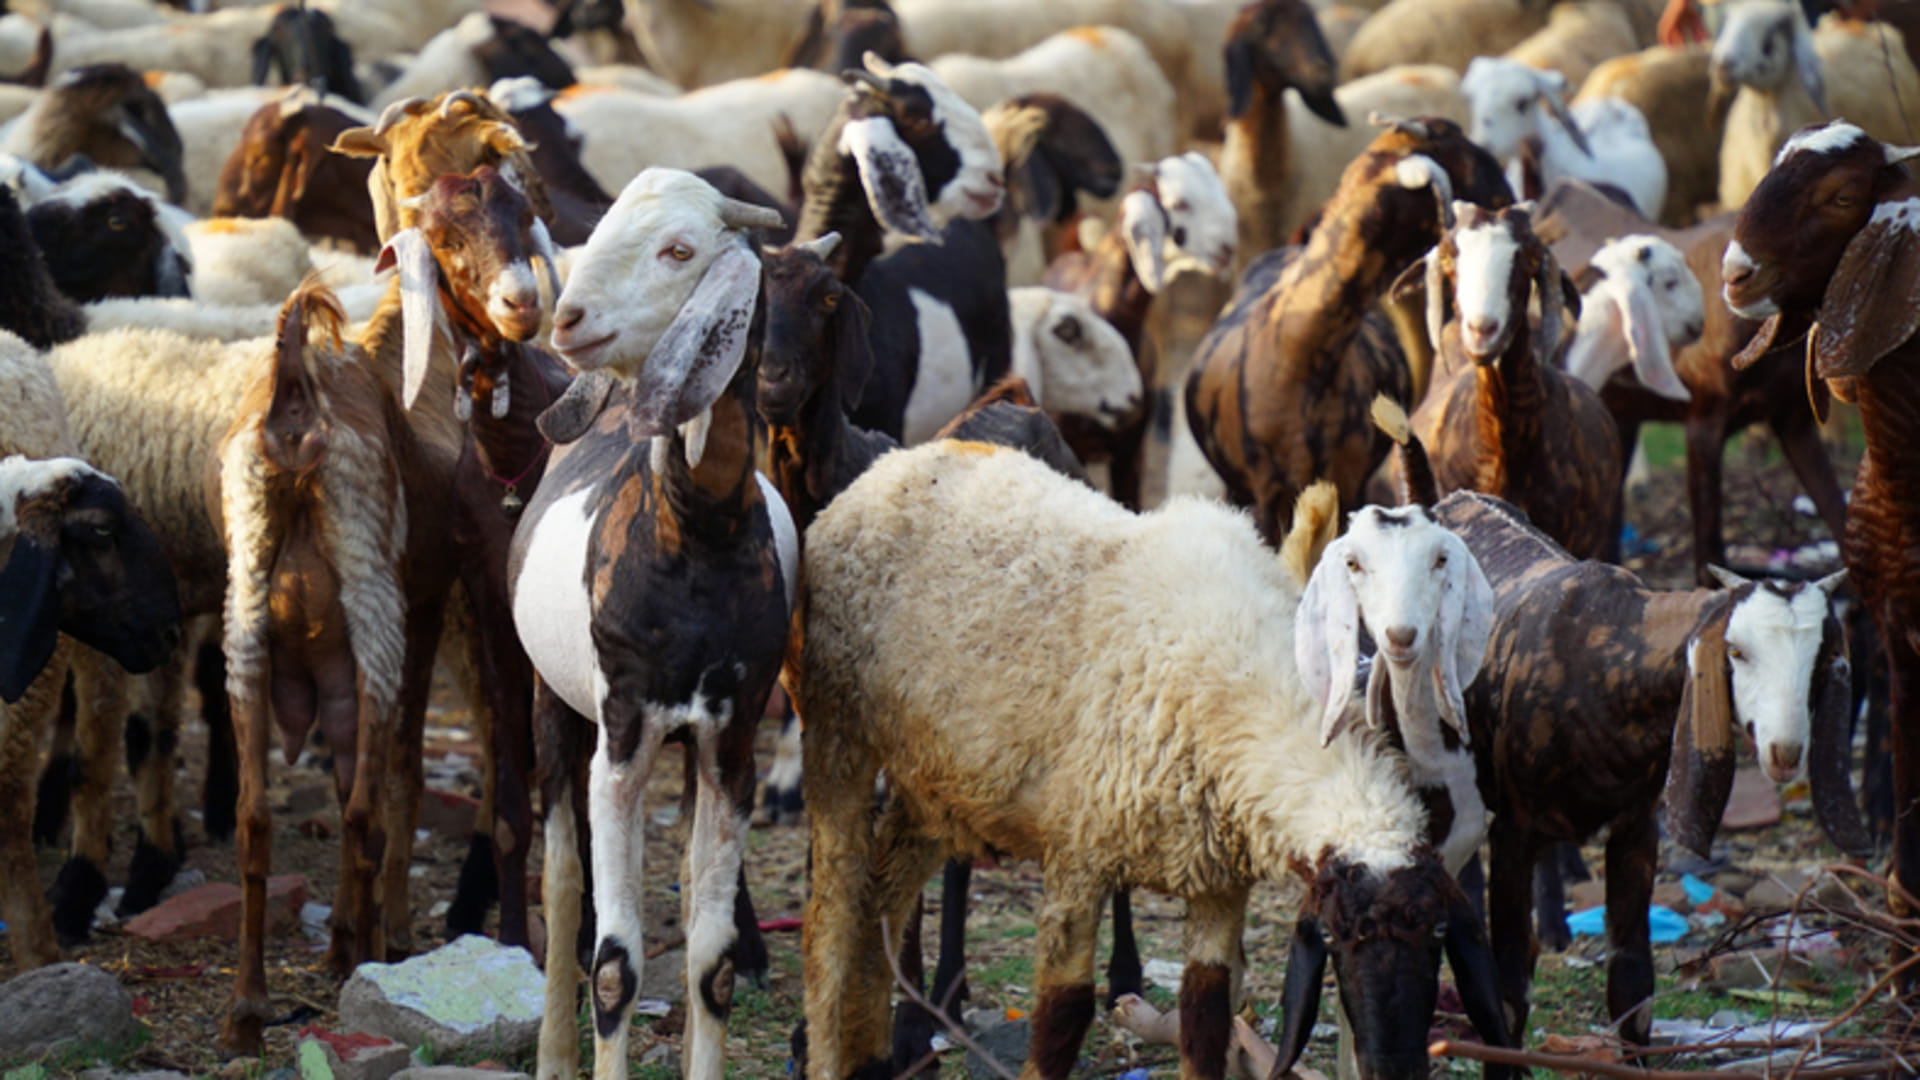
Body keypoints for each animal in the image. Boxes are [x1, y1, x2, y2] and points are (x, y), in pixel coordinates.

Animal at [513, 168, 792, 1080]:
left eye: (679, 249)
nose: (568, 320)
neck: (697, 533)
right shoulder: (623, 737)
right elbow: (614, 964)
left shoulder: (732, 741)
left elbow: (712, 962)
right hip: (552, 703)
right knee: (564, 884)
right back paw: (553, 1056)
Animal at [793, 437, 1513, 1080]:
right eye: (1333, 939)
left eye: (1438, 937)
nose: (1394, 1067)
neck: (1245, 676)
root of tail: (895, 464)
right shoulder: (1078, 856)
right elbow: (1062, 1017)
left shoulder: (1217, 878)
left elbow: (1206, 1017)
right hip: (836, 731)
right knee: (833, 913)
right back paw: (828, 1052)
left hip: (938, 781)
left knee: (884, 892)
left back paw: (873, 1057)